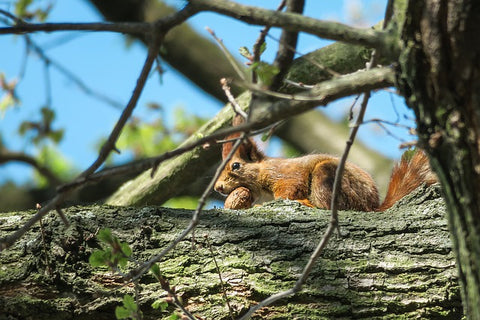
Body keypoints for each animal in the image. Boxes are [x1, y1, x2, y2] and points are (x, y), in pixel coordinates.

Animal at [213, 122, 436, 210]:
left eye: (236, 165)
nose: (218, 187)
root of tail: (371, 206)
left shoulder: (285, 175)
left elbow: (289, 189)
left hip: (327, 176)